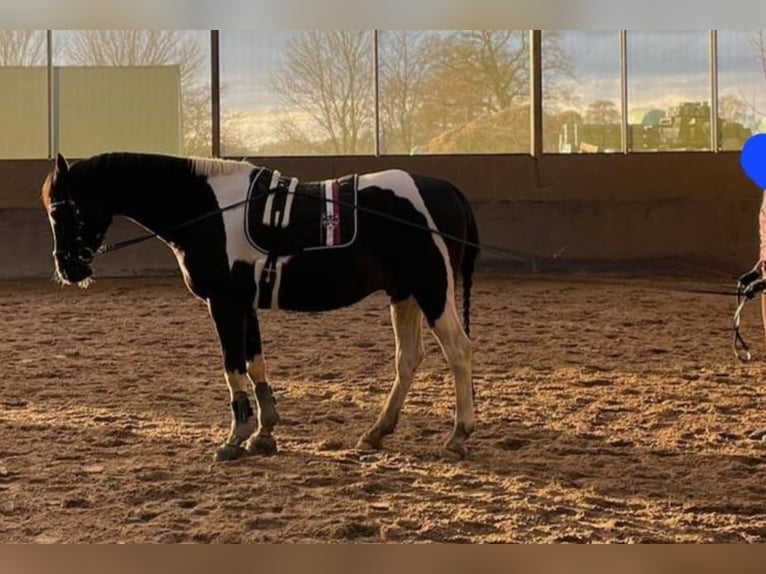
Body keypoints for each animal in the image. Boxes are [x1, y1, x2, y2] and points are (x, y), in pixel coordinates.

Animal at [42, 153, 480, 464]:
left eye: (61, 210)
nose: (68, 268)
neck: (207, 210)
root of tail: (448, 191)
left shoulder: (223, 304)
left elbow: (233, 368)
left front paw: (234, 439)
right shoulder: (244, 305)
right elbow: (256, 365)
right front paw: (264, 433)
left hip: (432, 290)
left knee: (459, 351)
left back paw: (458, 435)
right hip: (405, 294)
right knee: (408, 358)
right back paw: (377, 430)